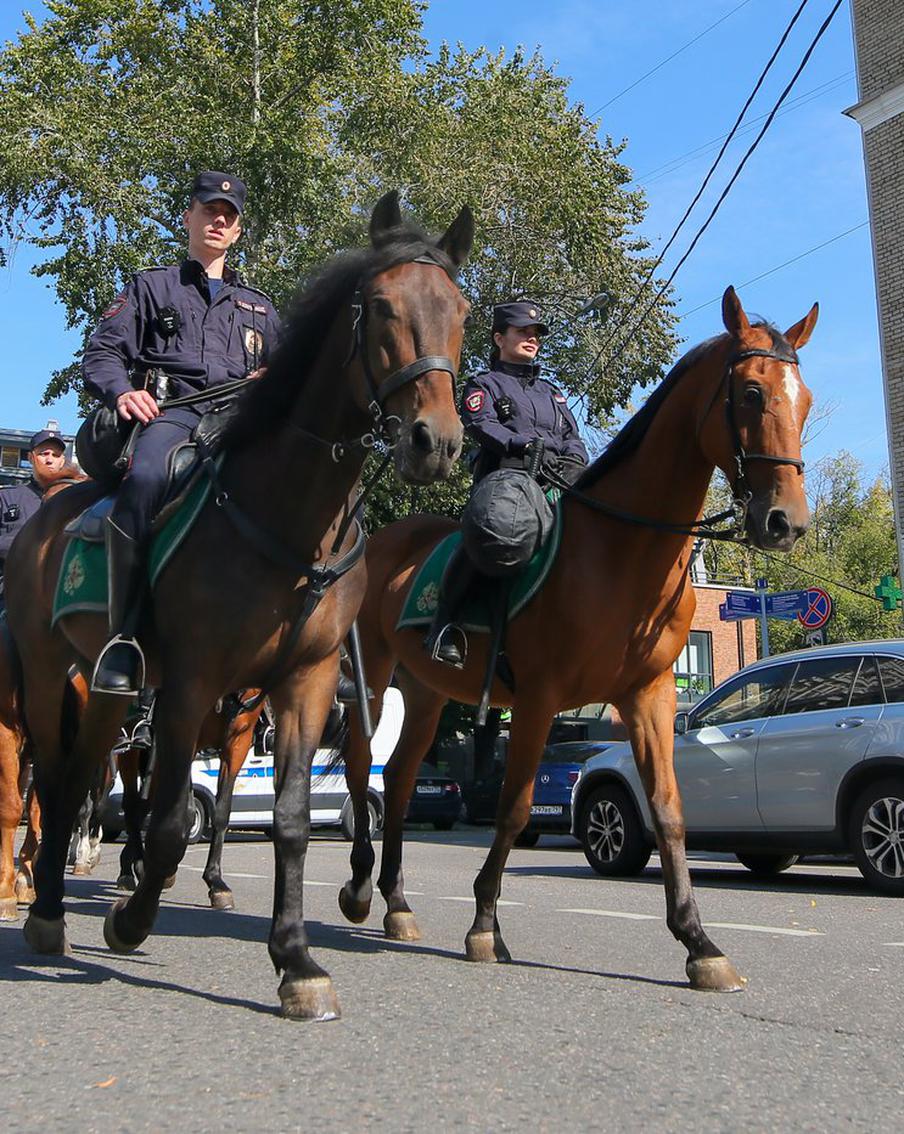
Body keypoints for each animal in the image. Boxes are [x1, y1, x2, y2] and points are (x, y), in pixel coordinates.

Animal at [5, 192, 471, 1020]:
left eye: (462, 312)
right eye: (383, 307)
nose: (436, 442)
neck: (287, 517)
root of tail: (45, 515)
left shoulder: (304, 684)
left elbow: (287, 819)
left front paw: (296, 962)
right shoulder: (190, 684)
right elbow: (166, 825)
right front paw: (130, 920)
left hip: (101, 689)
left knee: (80, 779)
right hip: (46, 669)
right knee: (58, 784)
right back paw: (50, 913)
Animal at [338, 290, 816, 993]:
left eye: (804, 398)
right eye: (752, 393)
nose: (786, 522)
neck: (619, 552)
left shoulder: (649, 696)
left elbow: (669, 810)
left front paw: (699, 943)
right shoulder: (538, 698)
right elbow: (513, 807)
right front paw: (485, 926)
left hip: (424, 690)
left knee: (397, 779)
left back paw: (397, 905)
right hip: (371, 677)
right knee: (356, 767)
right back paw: (357, 891)